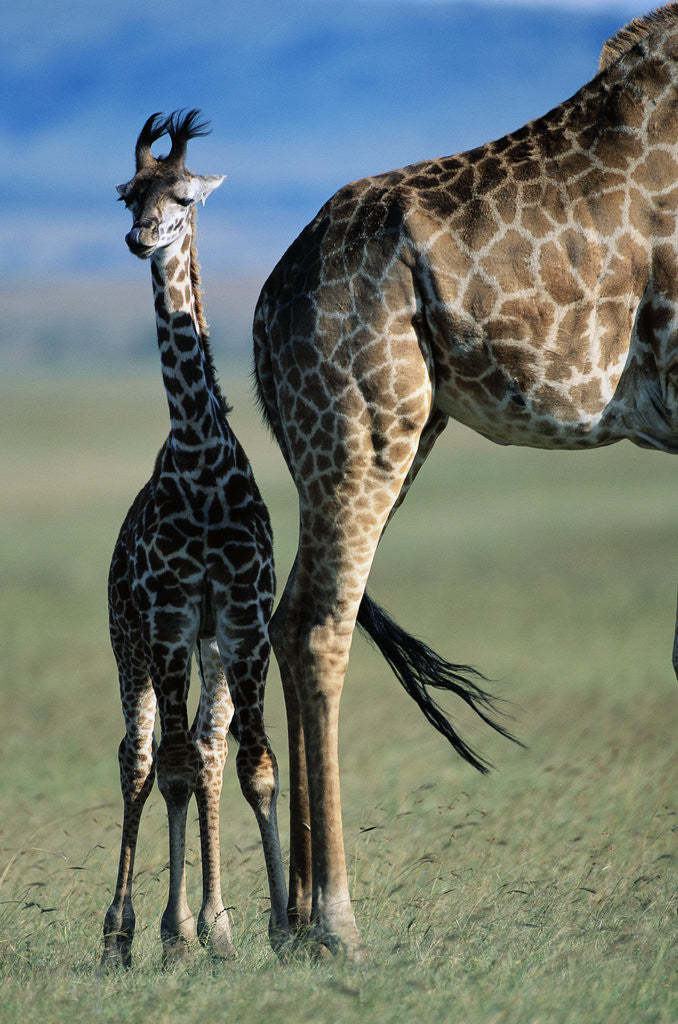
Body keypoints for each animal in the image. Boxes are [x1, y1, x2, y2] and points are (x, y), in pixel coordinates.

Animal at [252, 6, 678, 957]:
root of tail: (263, 306)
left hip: (369, 434)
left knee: (288, 614)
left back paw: (291, 924)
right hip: (365, 424)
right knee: (320, 625)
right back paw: (335, 922)